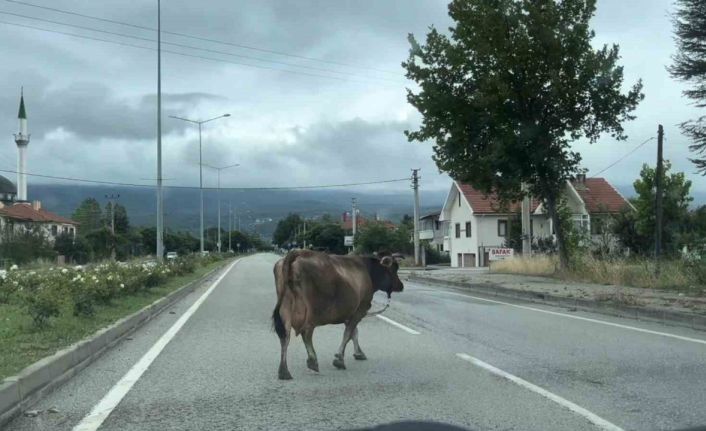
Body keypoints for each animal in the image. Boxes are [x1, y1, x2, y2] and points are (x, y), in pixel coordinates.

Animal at [270, 250, 402, 382]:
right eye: (394, 269)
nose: (401, 286)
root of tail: (297, 253)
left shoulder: (349, 313)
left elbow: (354, 333)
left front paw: (358, 353)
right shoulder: (360, 309)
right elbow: (348, 334)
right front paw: (339, 358)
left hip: (286, 307)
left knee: (285, 337)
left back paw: (284, 371)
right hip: (311, 311)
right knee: (306, 334)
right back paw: (312, 362)